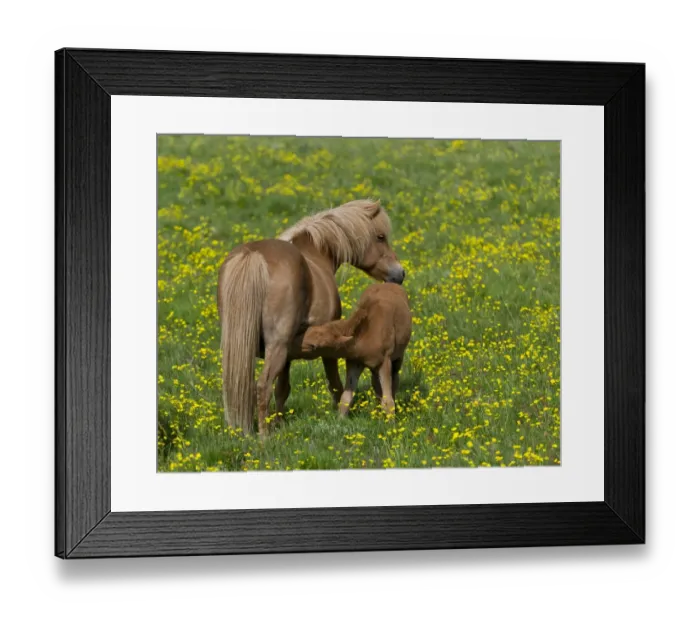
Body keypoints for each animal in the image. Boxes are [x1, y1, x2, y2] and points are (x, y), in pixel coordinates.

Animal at [299, 282, 412, 417]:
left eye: (314, 346)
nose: (294, 344)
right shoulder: (354, 362)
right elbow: (346, 398)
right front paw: (340, 419)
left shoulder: (385, 361)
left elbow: (388, 401)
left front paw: (391, 422)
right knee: (376, 384)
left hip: (398, 358)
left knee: (394, 380)